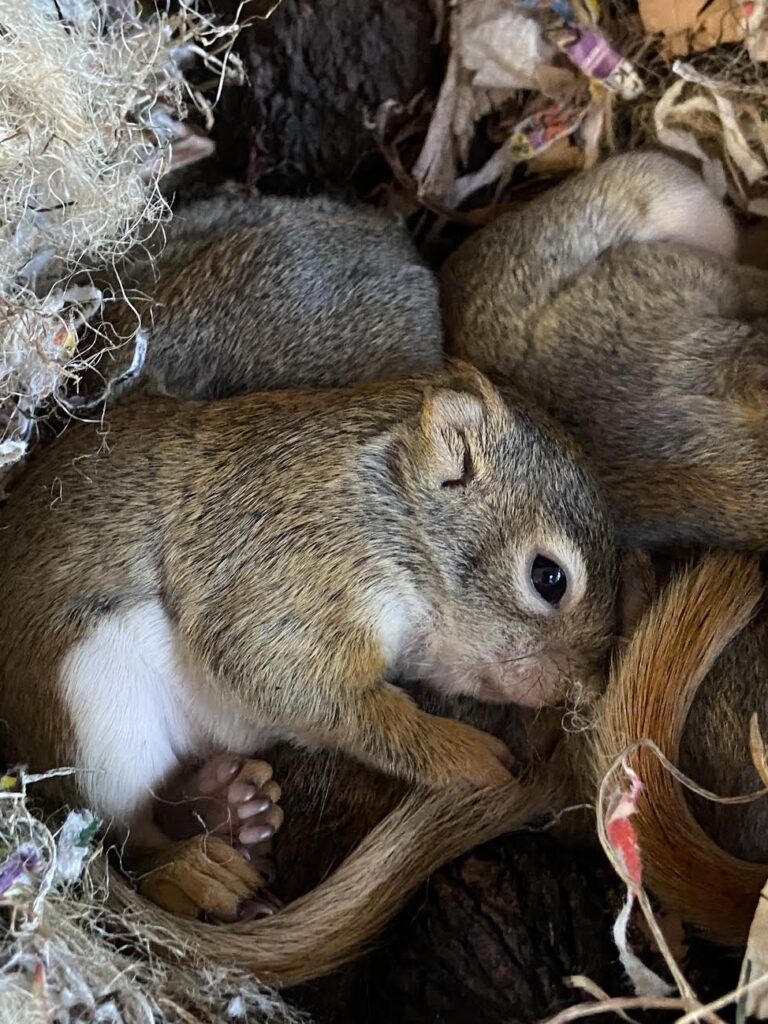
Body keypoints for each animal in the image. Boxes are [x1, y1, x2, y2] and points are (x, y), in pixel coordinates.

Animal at [0, 362, 614, 983]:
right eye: (549, 578)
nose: (584, 689)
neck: (392, 511)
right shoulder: (295, 570)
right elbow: (317, 692)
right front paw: (468, 756)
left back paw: (223, 807)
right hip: (95, 703)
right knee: (129, 839)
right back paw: (192, 866)